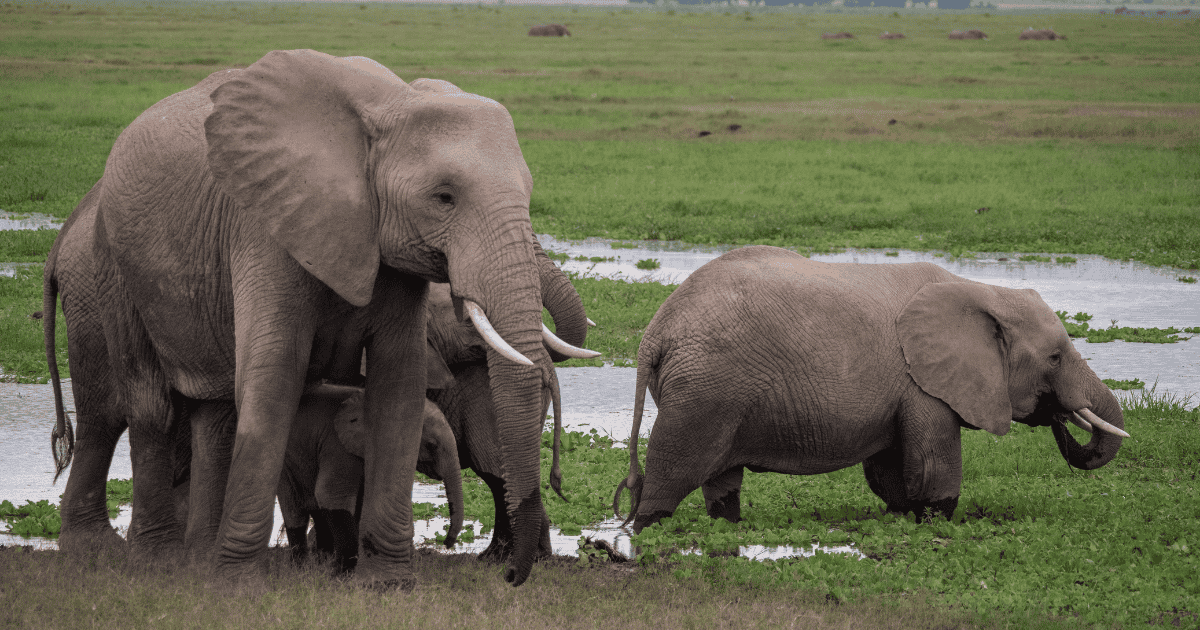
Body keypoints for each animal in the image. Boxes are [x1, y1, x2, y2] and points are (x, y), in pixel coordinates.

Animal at [277, 392, 465, 572]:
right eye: (431, 445)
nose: (447, 543)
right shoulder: (337, 446)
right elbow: (330, 494)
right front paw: (345, 573)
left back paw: (319, 563)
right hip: (286, 464)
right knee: (295, 510)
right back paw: (301, 568)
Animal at [613, 246, 1128, 533]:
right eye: (1055, 358)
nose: (1058, 412)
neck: (982, 291)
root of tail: (654, 333)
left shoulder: (905, 389)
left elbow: (890, 472)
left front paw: (904, 518)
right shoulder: (923, 385)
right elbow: (933, 468)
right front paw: (935, 524)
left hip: (711, 389)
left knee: (721, 481)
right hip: (704, 392)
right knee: (674, 472)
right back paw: (647, 533)